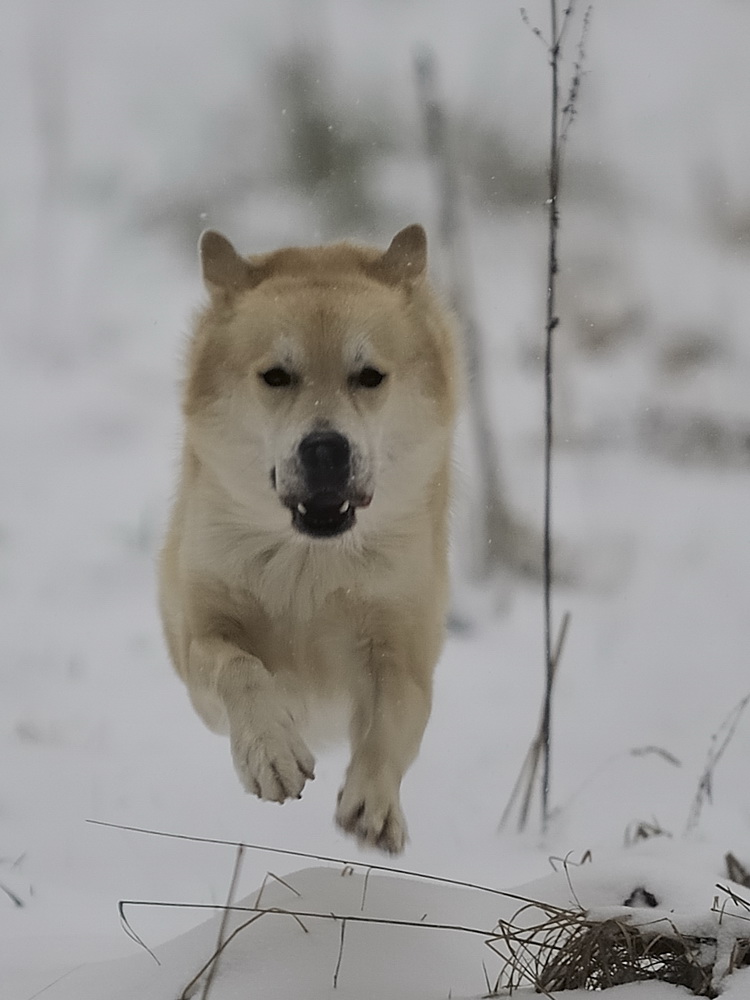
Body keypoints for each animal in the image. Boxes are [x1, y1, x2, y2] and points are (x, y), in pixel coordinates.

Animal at [161, 227, 462, 852]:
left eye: (369, 376)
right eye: (277, 375)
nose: (326, 449)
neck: (311, 564)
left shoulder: (402, 638)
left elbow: (395, 714)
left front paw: (373, 804)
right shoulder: (197, 630)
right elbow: (237, 667)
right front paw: (272, 756)